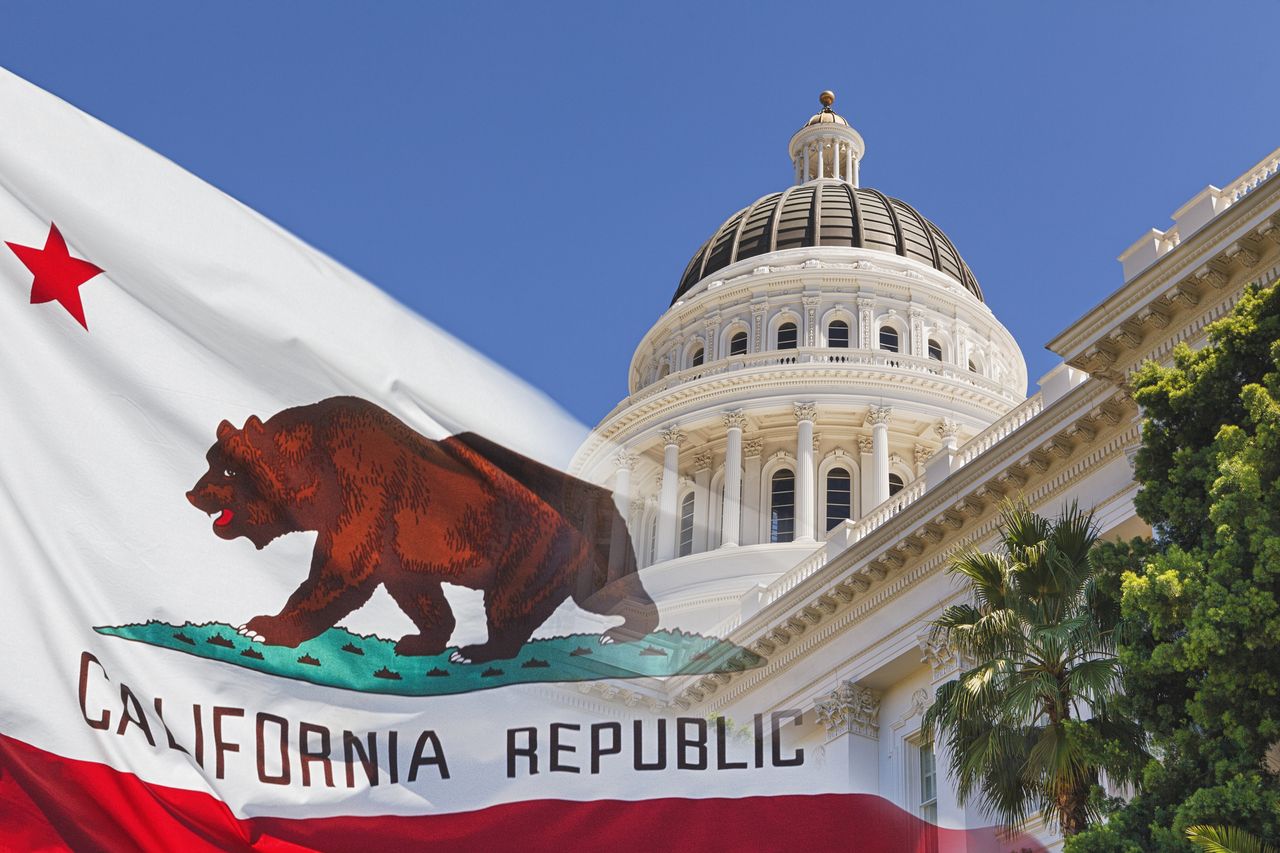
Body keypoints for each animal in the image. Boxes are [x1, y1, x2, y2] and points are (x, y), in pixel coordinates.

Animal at [186, 394, 660, 660]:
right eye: (211, 460)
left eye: (229, 471)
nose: (193, 493)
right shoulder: (401, 547)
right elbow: (418, 593)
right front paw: (420, 639)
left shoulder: (364, 493)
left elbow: (338, 572)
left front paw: (263, 625)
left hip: (534, 544)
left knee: (513, 601)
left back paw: (481, 651)